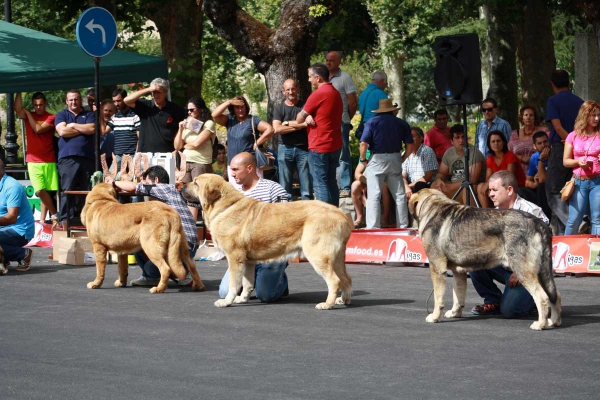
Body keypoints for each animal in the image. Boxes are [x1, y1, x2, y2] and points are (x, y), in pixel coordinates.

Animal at [180, 175, 354, 310]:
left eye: (195, 183)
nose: (180, 186)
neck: (226, 206)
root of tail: (340, 214)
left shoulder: (235, 258)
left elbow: (234, 284)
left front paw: (227, 301)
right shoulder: (247, 261)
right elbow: (247, 283)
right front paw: (242, 299)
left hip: (318, 255)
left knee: (335, 280)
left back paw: (327, 304)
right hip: (337, 258)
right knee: (346, 279)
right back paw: (343, 300)